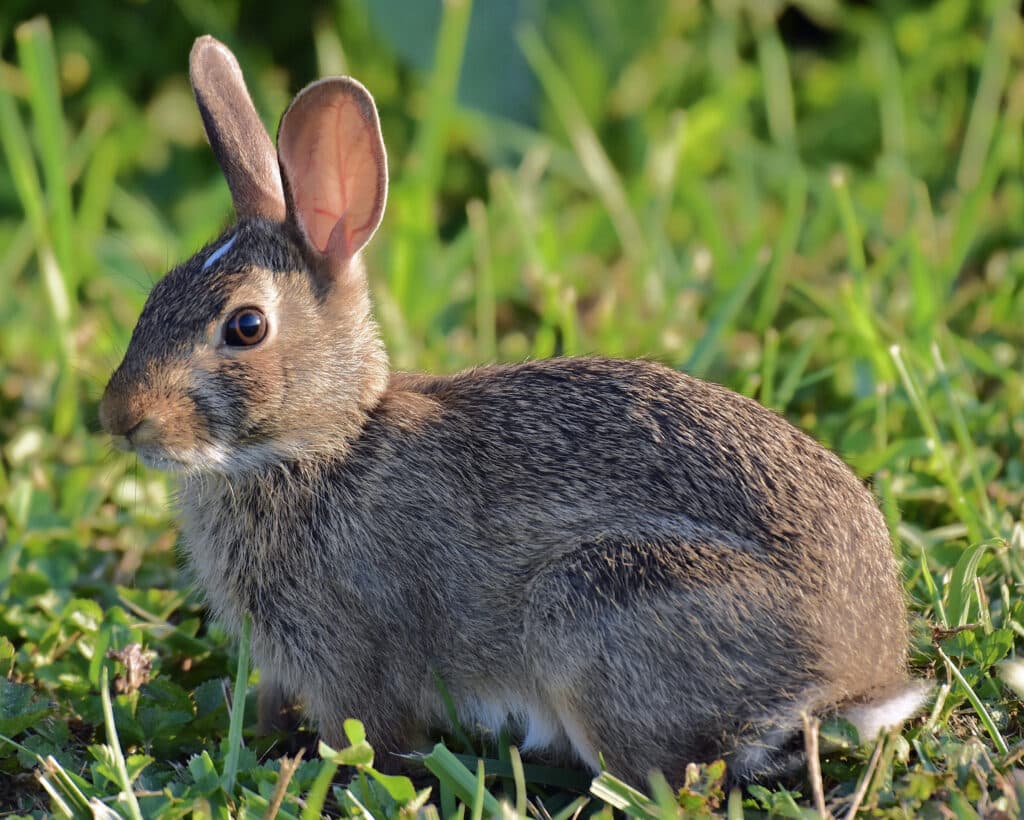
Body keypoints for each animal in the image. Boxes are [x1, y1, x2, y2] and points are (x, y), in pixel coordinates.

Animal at [97, 35, 929, 782]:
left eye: (246, 327)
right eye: (154, 294)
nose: (120, 417)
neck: (322, 446)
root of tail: (861, 672)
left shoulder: (351, 657)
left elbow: (367, 742)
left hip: (594, 605)